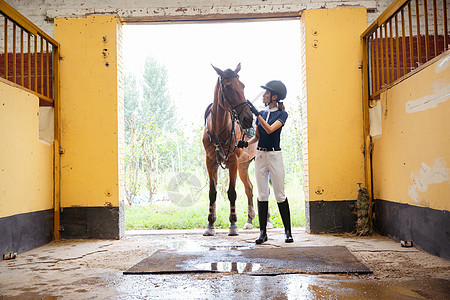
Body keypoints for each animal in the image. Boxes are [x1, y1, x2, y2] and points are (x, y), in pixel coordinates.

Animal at [203, 63, 256, 237]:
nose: (248, 118)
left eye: (242, 85)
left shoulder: (233, 161)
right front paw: (210, 225)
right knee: (249, 188)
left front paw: (233, 224)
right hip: (243, 165)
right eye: (228, 87)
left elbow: (232, 192)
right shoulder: (210, 161)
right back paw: (249, 221)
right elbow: (212, 193)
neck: (219, 129)